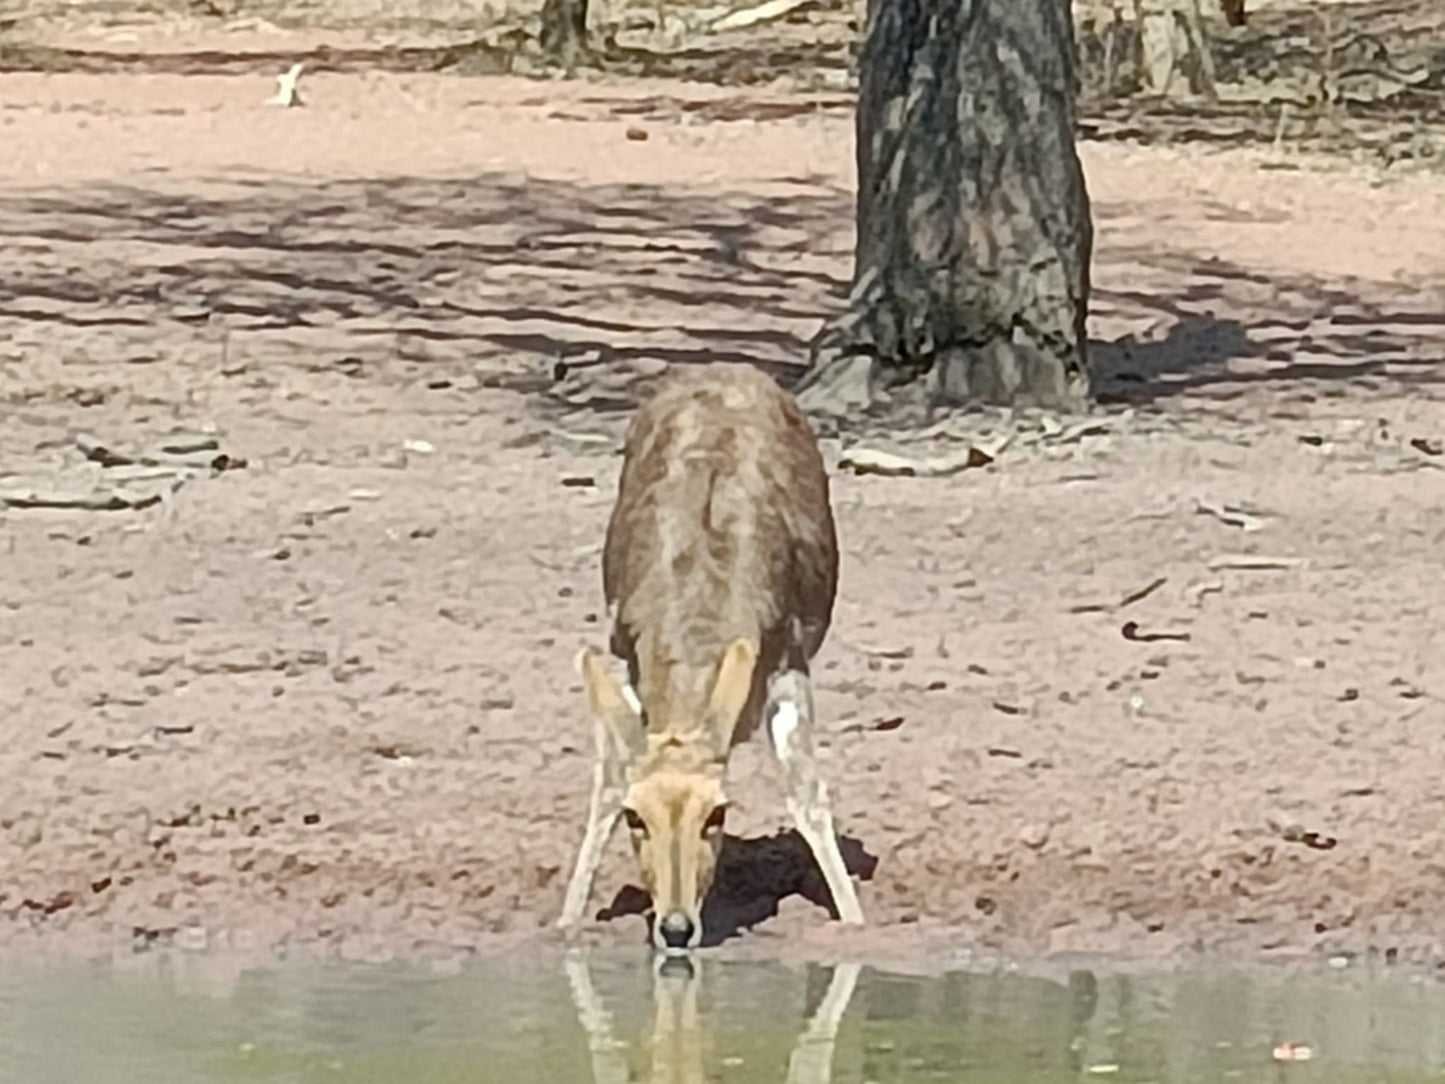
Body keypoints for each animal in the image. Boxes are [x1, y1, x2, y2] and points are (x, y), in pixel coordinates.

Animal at [554, 362, 867, 948]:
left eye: (717, 813)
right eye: (636, 817)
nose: (677, 928)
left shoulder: (790, 663)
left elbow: (807, 794)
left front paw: (854, 920)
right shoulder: (626, 660)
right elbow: (607, 781)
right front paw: (567, 920)